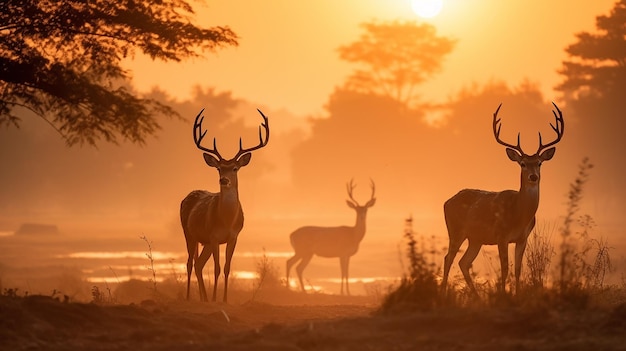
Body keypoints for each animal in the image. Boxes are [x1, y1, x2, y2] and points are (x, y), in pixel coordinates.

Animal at [179, 107, 270, 302]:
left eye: (235, 168)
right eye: (219, 168)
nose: (224, 180)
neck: (227, 220)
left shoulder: (233, 237)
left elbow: (227, 268)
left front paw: (224, 299)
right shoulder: (214, 237)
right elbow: (217, 268)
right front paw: (215, 299)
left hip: (203, 241)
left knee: (198, 264)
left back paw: (204, 299)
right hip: (189, 233)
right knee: (190, 263)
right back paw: (189, 297)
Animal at [442, 102, 564, 296]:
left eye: (539, 163)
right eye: (522, 164)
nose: (533, 177)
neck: (519, 214)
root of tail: (446, 202)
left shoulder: (523, 238)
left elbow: (518, 269)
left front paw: (517, 295)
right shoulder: (501, 235)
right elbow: (505, 269)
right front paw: (502, 295)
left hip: (475, 239)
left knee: (463, 262)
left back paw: (476, 296)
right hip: (455, 230)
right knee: (448, 258)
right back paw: (442, 293)